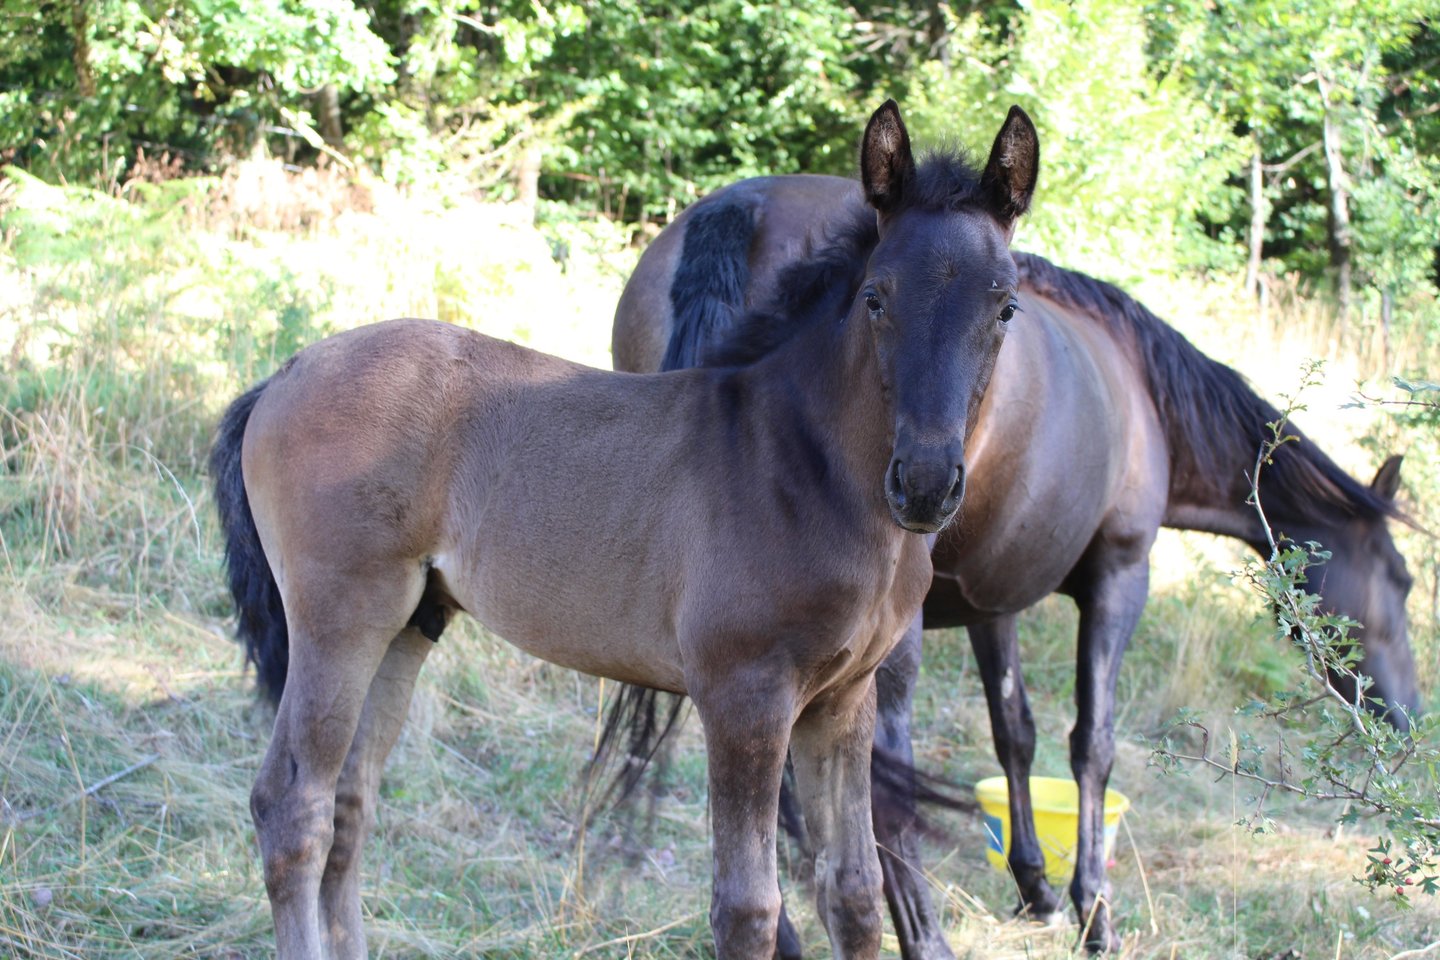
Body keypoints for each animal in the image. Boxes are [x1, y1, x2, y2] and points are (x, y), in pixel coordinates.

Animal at [208, 100, 1040, 960]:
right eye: (876, 297)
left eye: (1005, 307)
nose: (926, 483)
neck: (799, 464)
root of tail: (285, 374)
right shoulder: (745, 696)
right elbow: (748, 908)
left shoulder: (844, 701)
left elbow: (853, 894)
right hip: (339, 619)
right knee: (293, 810)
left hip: (409, 623)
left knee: (350, 806)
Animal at [610, 174, 1420, 955]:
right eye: (1404, 582)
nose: (1409, 718)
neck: (1138, 383)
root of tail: (741, 207)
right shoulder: (1120, 575)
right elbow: (1092, 743)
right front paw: (1094, 911)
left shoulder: (988, 599)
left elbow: (1015, 732)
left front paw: (1034, 883)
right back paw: (922, 937)